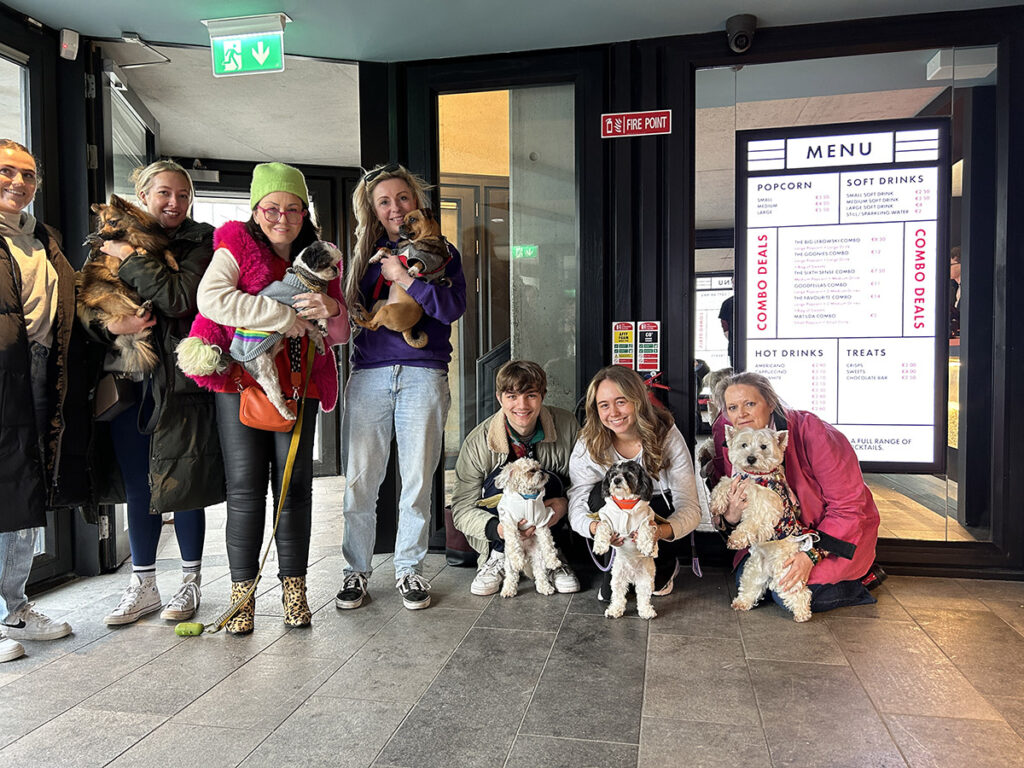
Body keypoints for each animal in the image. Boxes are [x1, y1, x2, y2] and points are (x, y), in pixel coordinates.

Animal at [75, 195, 180, 376]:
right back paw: (143, 309)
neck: (136, 235)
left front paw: (173, 263)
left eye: (112, 222)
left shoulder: (157, 245)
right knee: (134, 312)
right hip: (114, 297)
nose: (100, 234)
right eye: (103, 224)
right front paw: (140, 250)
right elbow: (121, 257)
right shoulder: (113, 259)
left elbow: (165, 250)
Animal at [493, 460, 561, 598]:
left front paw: (553, 561)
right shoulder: (509, 522)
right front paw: (519, 561)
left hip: (538, 557)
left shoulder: (541, 522)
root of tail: (526, 553)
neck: (528, 498)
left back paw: (545, 588)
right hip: (509, 561)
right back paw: (508, 590)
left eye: (539, 467)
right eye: (531, 471)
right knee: (511, 576)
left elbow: (548, 544)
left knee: (540, 574)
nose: (542, 472)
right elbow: (514, 543)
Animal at [589, 460, 659, 622]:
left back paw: (646, 611)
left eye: (628, 474)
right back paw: (614, 610)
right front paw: (600, 546)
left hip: (645, 579)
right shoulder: (606, 518)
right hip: (618, 578)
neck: (626, 504)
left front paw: (646, 546)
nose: (616, 480)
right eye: (613, 474)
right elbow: (602, 526)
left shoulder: (648, 518)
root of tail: (632, 575)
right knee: (618, 596)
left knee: (643, 597)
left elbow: (645, 529)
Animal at [708, 428, 811, 626]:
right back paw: (741, 603)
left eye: (763, 446)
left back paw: (802, 614)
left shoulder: (766, 509)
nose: (750, 458)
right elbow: (722, 485)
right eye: (744, 444)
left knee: (800, 592)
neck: (754, 477)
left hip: (786, 572)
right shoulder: (736, 481)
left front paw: (736, 539)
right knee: (750, 587)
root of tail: (770, 569)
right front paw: (717, 505)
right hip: (754, 570)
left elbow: (751, 523)